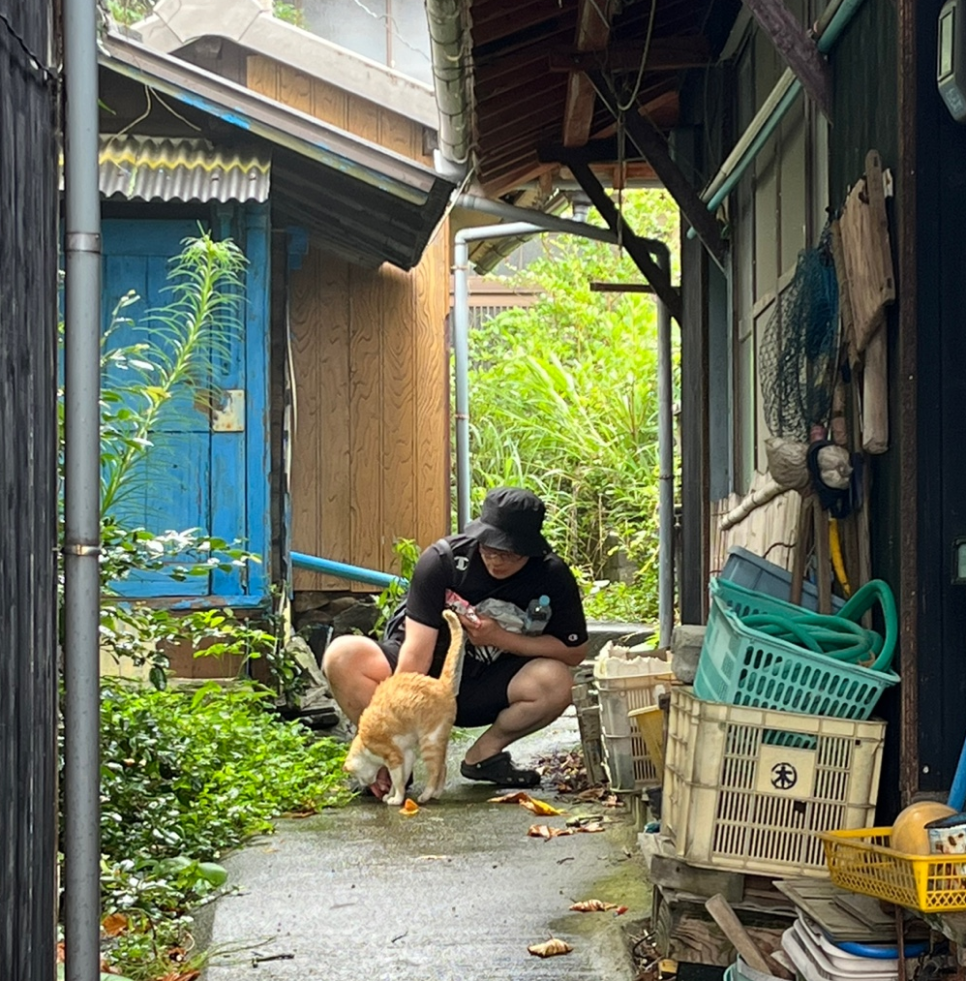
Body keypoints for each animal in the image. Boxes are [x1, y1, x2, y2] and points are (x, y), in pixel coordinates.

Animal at [346, 608, 466, 808]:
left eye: (357, 775)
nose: (365, 784)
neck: (364, 743)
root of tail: (441, 683)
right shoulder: (406, 755)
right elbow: (399, 780)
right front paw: (391, 795)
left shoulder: (393, 756)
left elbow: (398, 781)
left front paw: (396, 799)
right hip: (436, 741)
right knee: (443, 766)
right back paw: (436, 793)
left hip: (429, 740)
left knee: (435, 770)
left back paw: (426, 795)